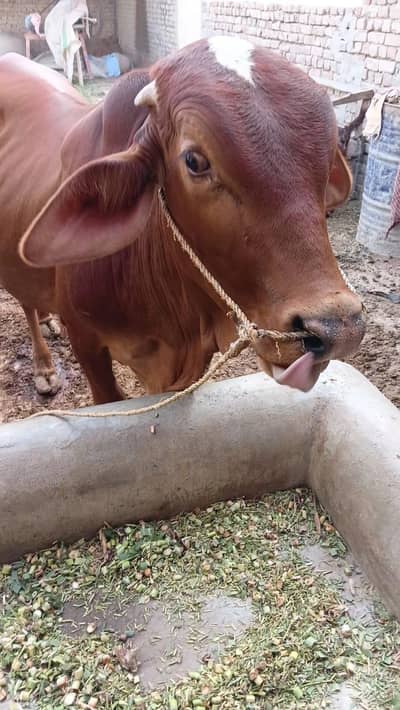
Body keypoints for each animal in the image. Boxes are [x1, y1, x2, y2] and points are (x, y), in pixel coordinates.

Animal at [0, 37, 365, 405]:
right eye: (194, 161)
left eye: (328, 153)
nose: (339, 329)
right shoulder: (86, 344)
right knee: (25, 301)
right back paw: (44, 367)